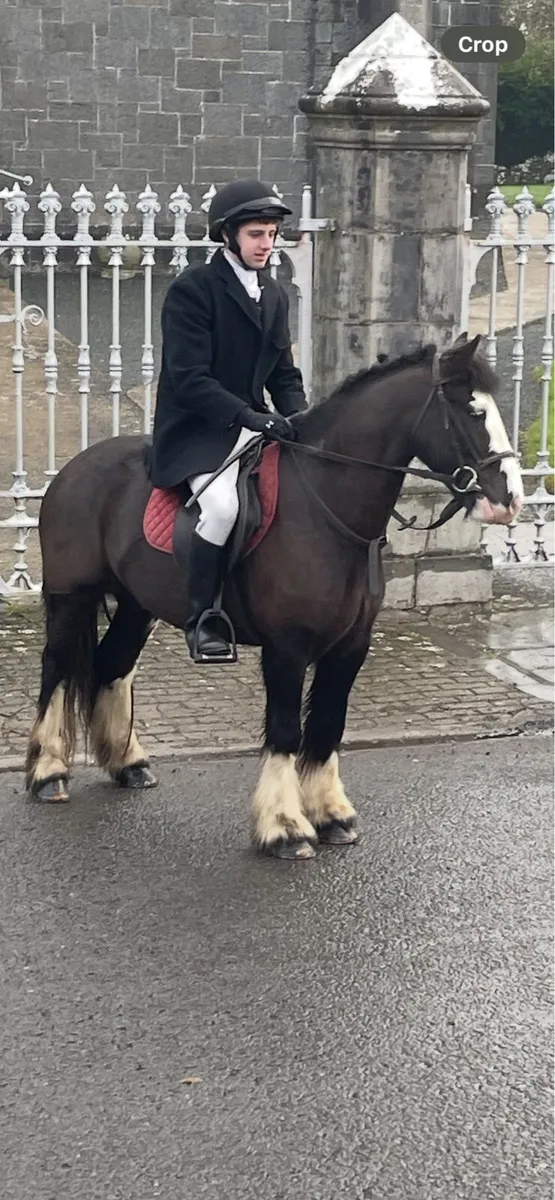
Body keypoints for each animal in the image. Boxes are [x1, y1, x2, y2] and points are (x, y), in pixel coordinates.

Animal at [25, 334, 523, 860]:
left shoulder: (350, 647)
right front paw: (285, 826)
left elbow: (327, 723)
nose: (510, 501)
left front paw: (332, 814)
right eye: (470, 410)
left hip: (139, 606)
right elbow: (286, 728)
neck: (327, 508)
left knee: (112, 664)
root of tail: (75, 467)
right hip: (71, 596)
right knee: (57, 667)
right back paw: (48, 772)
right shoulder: (287, 648)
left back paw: (128, 764)